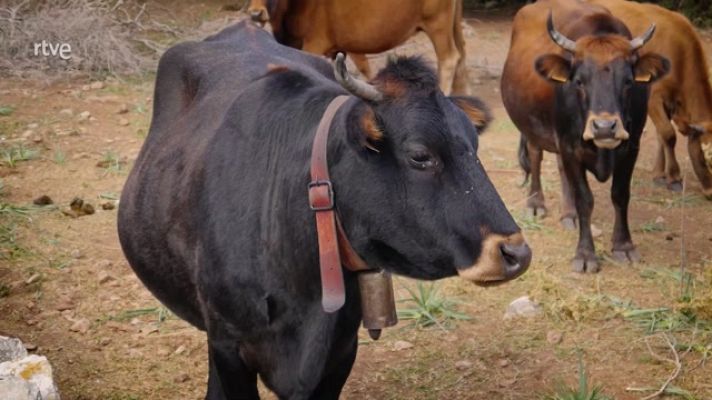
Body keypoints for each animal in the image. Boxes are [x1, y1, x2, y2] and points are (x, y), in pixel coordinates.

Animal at [245, 0, 470, 95]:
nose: (256, 13)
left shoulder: (313, 43)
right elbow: (364, 70)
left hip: (437, 24)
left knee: (449, 58)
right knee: (461, 57)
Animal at [501, 0, 669, 272]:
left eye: (628, 81)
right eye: (578, 81)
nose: (604, 127)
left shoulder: (631, 147)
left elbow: (620, 195)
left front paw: (623, 246)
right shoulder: (570, 146)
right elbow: (585, 199)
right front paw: (585, 254)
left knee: (560, 168)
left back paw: (568, 214)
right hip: (533, 128)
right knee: (536, 158)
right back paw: (536, 204)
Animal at [588, 0, 712, 199]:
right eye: (708, 160)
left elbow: (662, 137)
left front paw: (659, 174)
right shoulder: (654, 98)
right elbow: (668, 134)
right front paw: (674, 178)